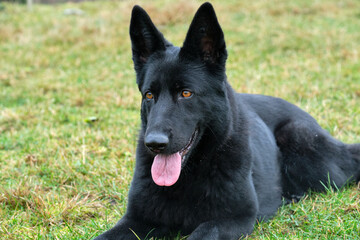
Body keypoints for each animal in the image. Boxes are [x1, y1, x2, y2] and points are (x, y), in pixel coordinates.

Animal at [94, 2, 358, 240]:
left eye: (186, 93)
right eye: (149, 95)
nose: (154, 144)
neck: (191, 174)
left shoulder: (232, 219)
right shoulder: (137, 220)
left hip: (303, 145)